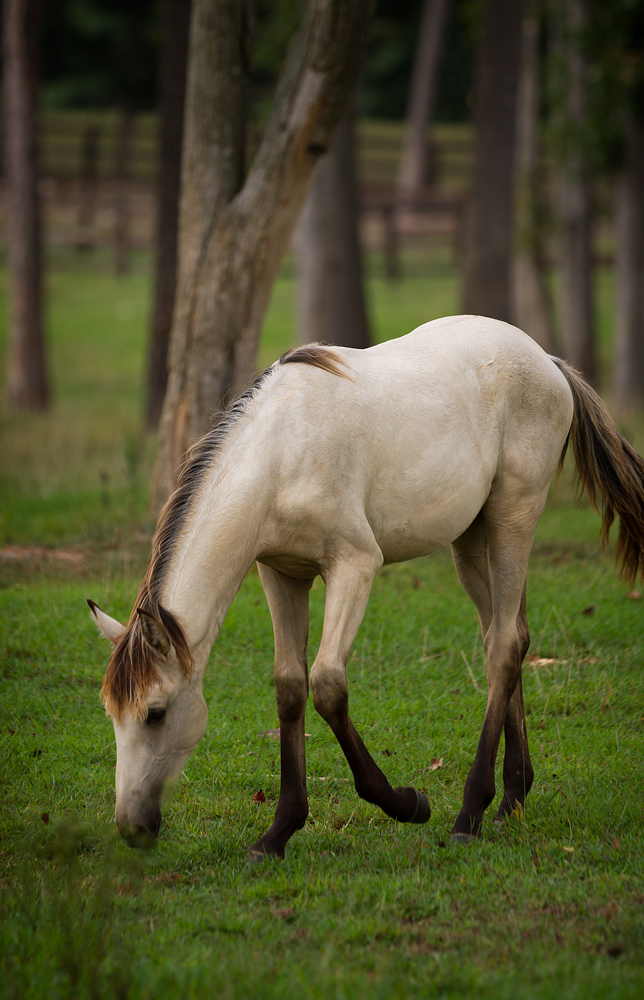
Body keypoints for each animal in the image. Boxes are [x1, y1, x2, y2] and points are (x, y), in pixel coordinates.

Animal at [88, 316, 644, 856]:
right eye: (112, 714)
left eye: (155, 714)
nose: (131, 828)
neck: (282, 455)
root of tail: (546, 361)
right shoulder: (282, 574)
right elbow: (290, 688)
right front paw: (277, 833)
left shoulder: (354, 565)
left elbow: (328, 685)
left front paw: (407, 803)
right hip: (472, 539)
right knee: (505, 637)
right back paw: (511, 799)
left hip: (514, 518)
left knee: (505, 645)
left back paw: (470, 814)